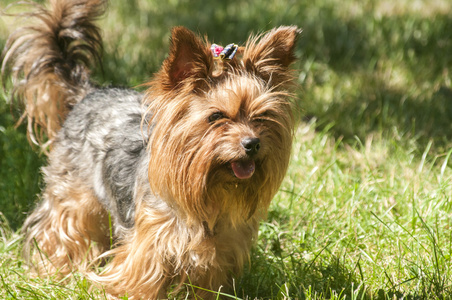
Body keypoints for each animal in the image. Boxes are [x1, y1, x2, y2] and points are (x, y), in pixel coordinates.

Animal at [2, 0, 300, 298]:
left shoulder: (219, 252)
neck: (209, 193)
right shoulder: (150, 246)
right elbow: (138, 281)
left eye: (261, 117)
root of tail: (89, 93)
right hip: (73, 194)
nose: (252, 143)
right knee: (62, 229)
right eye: (216, 117)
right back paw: (54, 273)